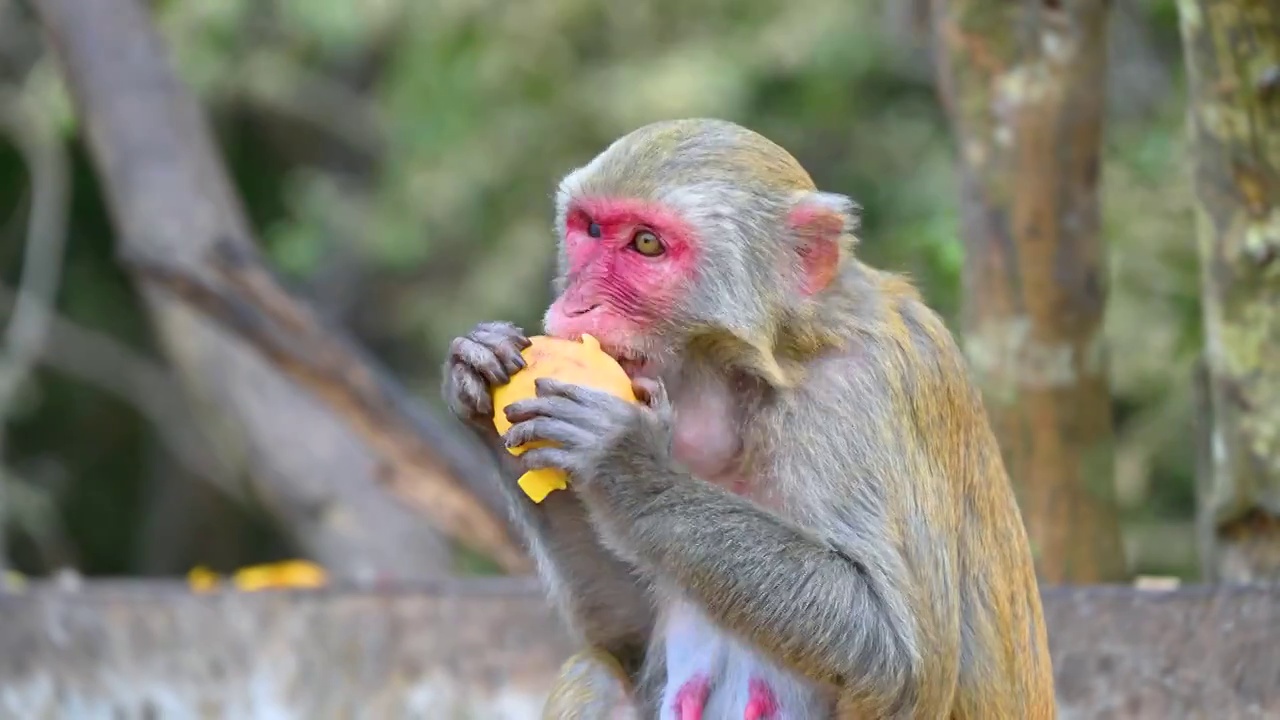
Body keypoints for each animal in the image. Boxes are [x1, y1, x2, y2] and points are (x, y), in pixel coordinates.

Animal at [445, 119, 1054, 717]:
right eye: (590, 229)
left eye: (647, 244)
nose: (578, 303)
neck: (767, 369)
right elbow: (625, 636)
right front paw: (480, 373)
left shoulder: (860, 392)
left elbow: (902, 665)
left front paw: (624, 464)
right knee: (592, 672)